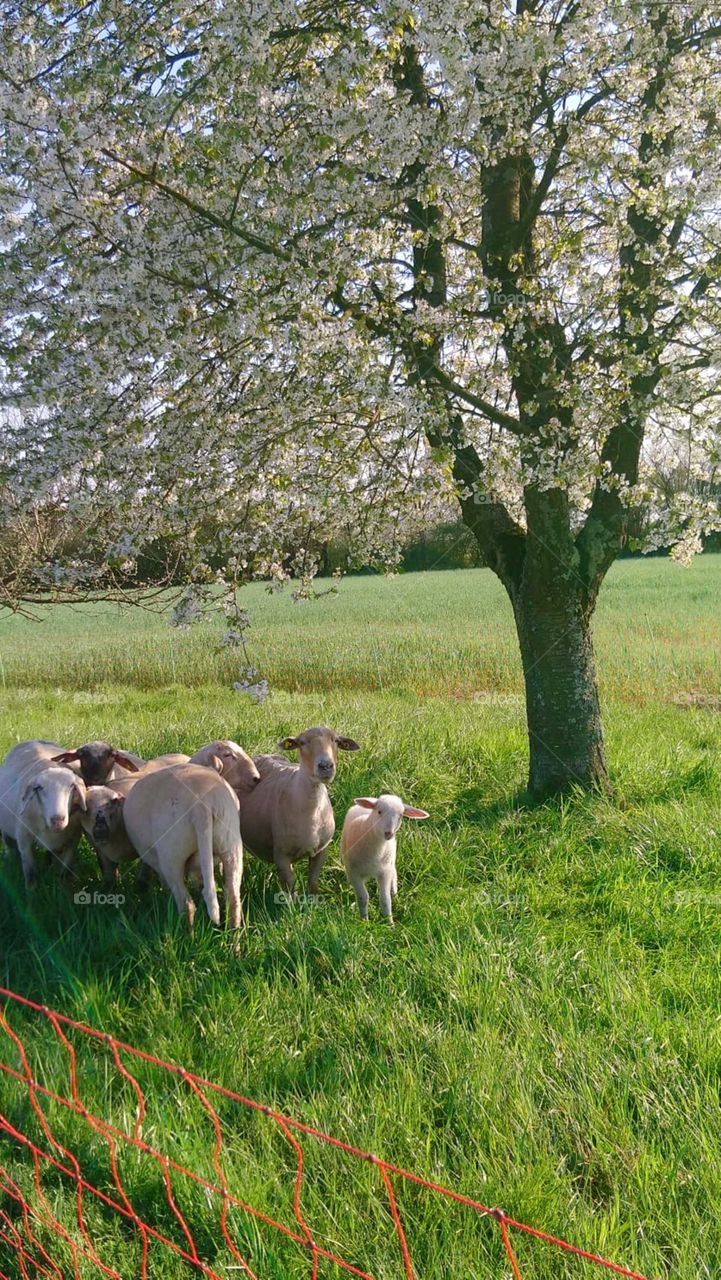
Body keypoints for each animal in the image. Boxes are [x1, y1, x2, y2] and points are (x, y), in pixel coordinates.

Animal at [0, 748, 87, 888]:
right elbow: (30, 872)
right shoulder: (24, 839)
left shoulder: (73, 839)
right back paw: (9, 859)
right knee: (9, 845)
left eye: (71, 786)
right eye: (39, 788)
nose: (57, 820)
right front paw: (31, 892)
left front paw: (63, 887)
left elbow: (66, 870)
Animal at [122, 764, 244, 929]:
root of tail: (201, 805)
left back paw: (187, 933)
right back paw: (233, 934)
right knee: (233, 898)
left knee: (186, 904)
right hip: (231, 845)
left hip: (171, 857)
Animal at [237, 726, 360, 898]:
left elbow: (313, 882)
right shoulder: (281, 854)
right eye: (302, 742)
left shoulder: (322, 850)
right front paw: (292, 904)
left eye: (336, 740)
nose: (326, 766)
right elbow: (290, 885)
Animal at [340, 795, 429, 923]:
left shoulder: (384, 872)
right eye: (379, 811)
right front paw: (364, 921)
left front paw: (389, 923)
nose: (389, 833)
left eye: (400, 815)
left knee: (394, 873)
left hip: (391, 858)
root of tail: (371, 797)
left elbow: (385, 899)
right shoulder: (353, 872)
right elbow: (363, 897)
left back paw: (395, 894)